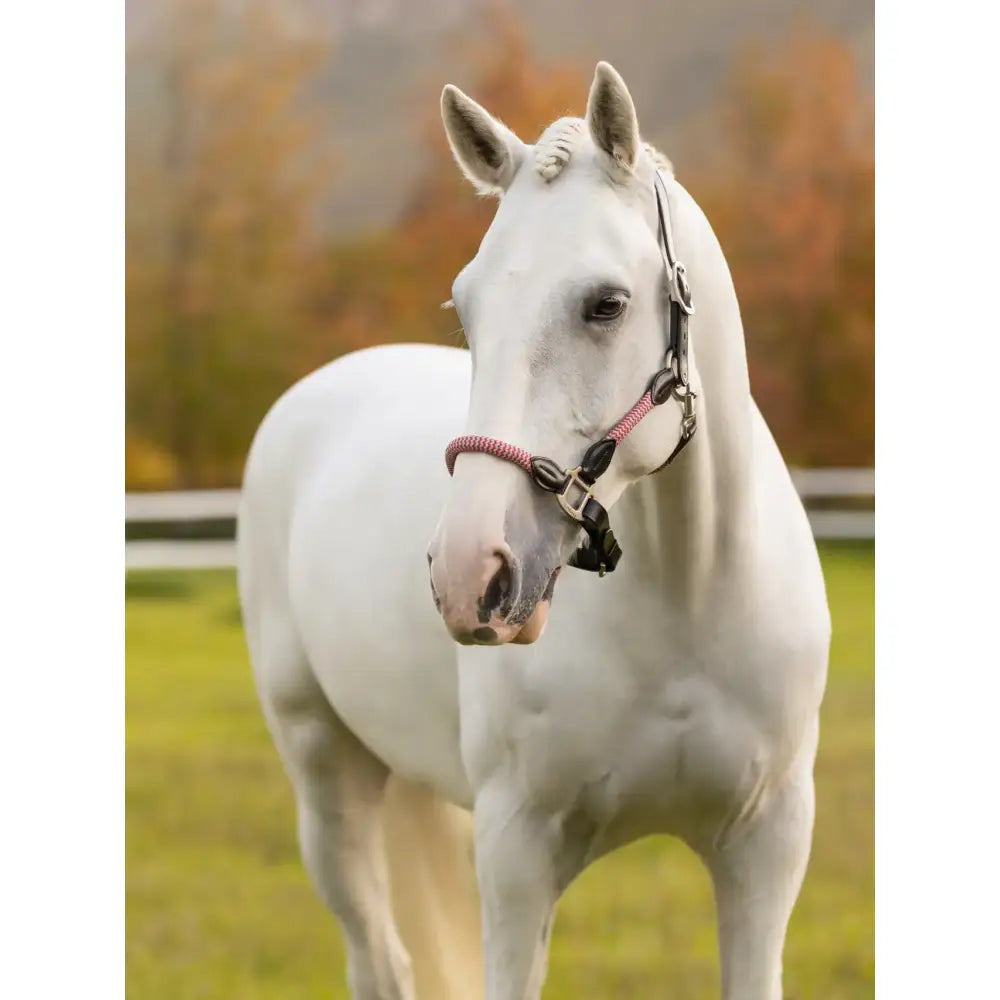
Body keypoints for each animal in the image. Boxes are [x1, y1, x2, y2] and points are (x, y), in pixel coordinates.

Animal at [237, 61, 830, 1000]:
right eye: (466, 305)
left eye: (606, 304)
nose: (468, 573)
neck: (688, 601)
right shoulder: (516, 856)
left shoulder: (767, 849)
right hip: (326, 776)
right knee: (380, 960)